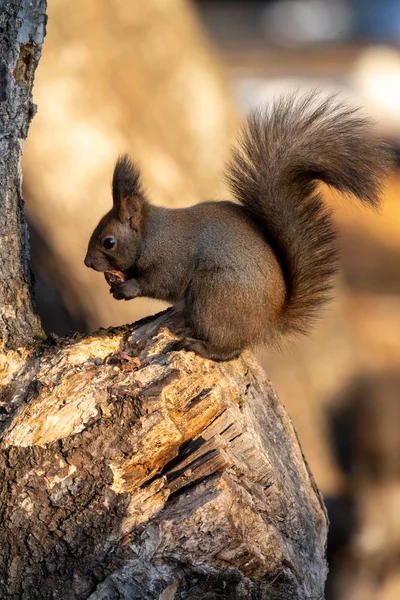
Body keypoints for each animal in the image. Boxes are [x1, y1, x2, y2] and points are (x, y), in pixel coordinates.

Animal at [83, 91, 390, 358]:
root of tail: (264, 325)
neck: (150, 235)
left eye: (108, 242)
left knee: (229, 349)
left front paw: (127, 289)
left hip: (213, 295)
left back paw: (200, 346)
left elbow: (161, 283)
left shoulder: (171, 259)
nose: (87, 262)